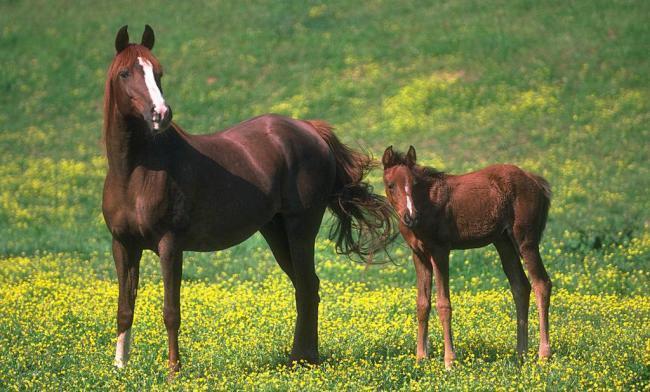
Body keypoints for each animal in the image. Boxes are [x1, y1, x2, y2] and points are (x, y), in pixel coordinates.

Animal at [102, 26, 390, 376]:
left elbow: (171, 311)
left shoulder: (169, 245)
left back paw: (302, 359)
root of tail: (310, 130)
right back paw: (303, 358)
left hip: (301, 227)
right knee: (305, 287)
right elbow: (124, 308)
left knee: (308, 285)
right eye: (125, 73)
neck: (137, 172)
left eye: (158, 72)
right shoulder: (123, 245)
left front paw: (173, 371)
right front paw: (119, 369)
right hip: (275, 231)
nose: (161, 114)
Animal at [382, 146, 548, 368]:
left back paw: (543, 354)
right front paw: (420, 358)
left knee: (541, 284)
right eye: (391, 185)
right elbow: (422, 304)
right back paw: (520, 354)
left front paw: (449, 361)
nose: (410, 216)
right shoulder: (419, 255)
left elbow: (444, 304)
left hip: (525, 241)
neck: (426, 204)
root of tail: (535, 180)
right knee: (521, 287)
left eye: (414, 184)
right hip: (504, 242)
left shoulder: (440, 251)